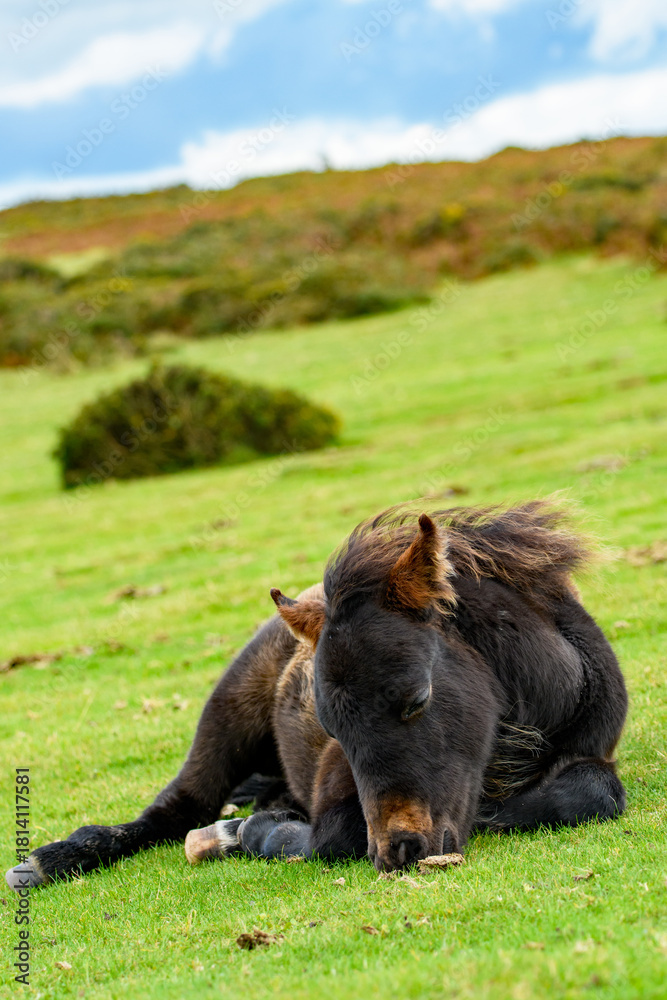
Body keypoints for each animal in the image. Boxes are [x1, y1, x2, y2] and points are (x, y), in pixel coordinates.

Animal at [7, 500, 628, 889]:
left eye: (417, 699)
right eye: (334, 730)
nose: (398, 851)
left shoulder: (593, 748)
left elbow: (593, 793)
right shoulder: (333, 786)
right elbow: (331, 836)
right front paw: (252, 833)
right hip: (225, 717)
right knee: (179, 808)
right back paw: (52, 860)